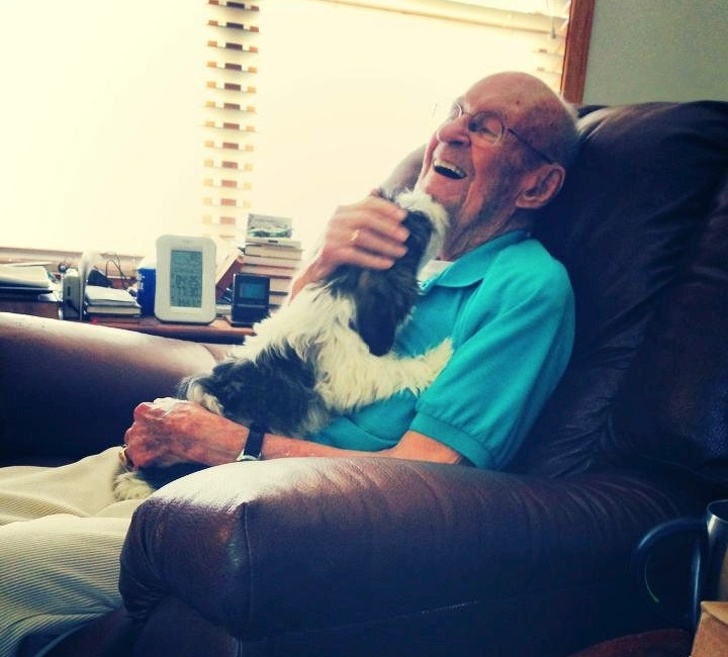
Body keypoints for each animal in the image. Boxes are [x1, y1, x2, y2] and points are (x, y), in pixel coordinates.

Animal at [115, 187, 450, 500]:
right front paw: (442, 356)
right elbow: (395, 370)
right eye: (417, 225)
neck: (343, 286)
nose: (432, 198)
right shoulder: (348, 370)